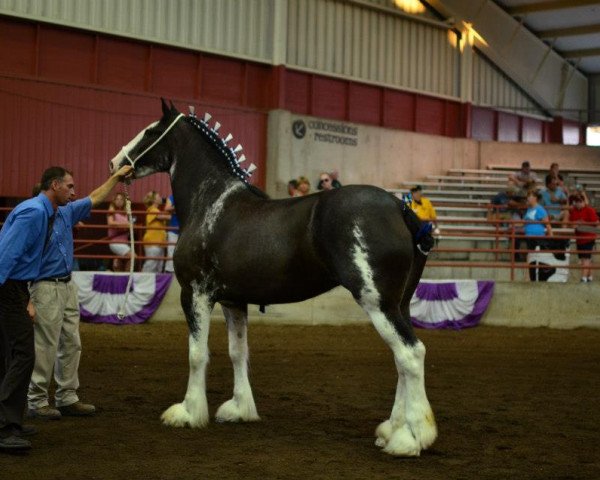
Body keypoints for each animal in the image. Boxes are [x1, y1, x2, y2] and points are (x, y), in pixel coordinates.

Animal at [110, 101, 436, 458]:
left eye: (151, 131)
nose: (115, 162)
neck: (210, 202)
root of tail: (399, 207)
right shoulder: (233, 301)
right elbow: (238, 352)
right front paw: (239, 409)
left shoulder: (194, 294)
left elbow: (197, 354)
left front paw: (188, 412)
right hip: (399, 304)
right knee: (402, 359)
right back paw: (393, 430)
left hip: (377, 302)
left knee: (411, 354)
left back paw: (410, 438)